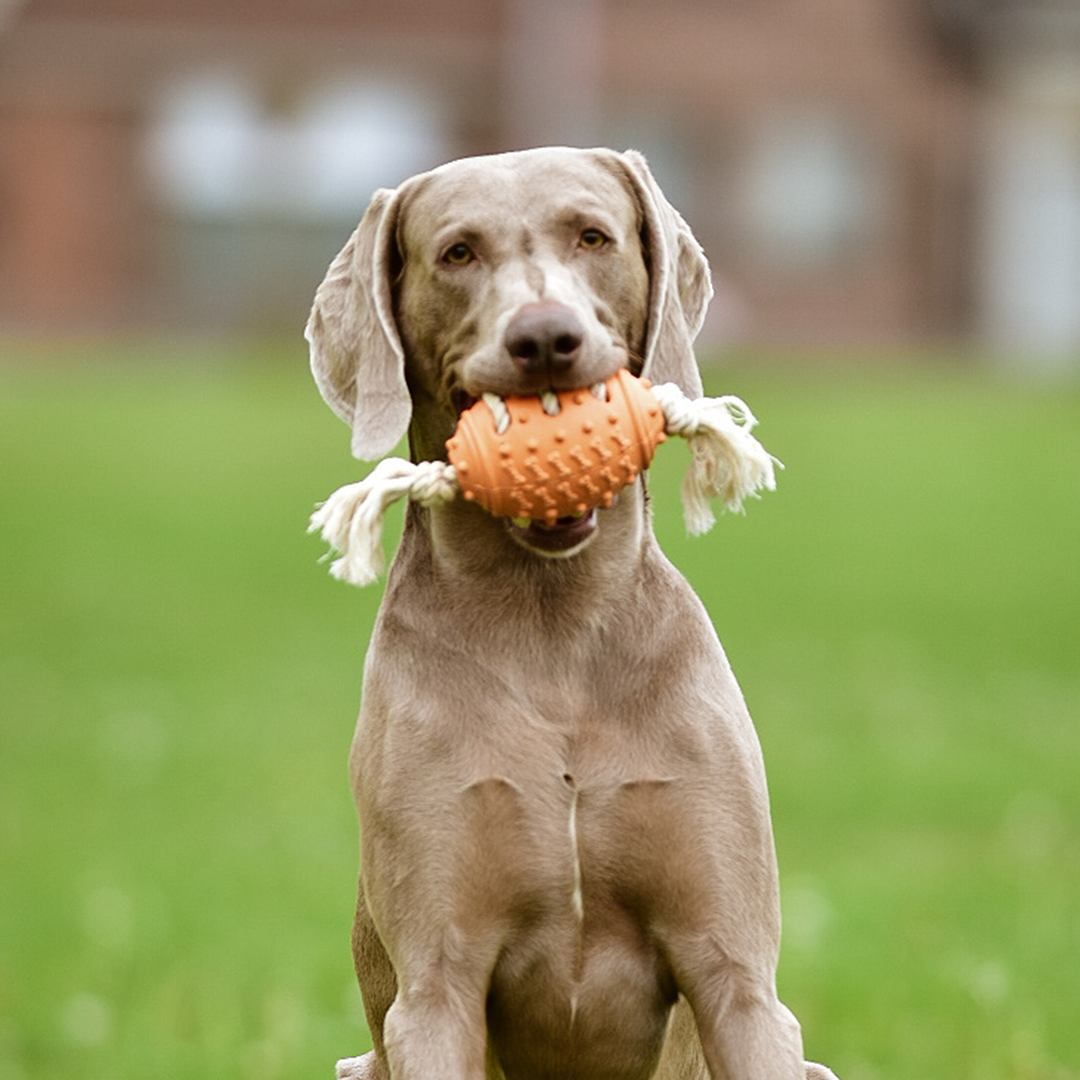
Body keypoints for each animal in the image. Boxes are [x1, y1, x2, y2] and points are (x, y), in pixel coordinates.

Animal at [308, 145, 838, 1080]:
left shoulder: (737, 974)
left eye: (592, 236)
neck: (552, 620)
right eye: (458, 253)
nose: (545, 339)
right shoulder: (435, 987)